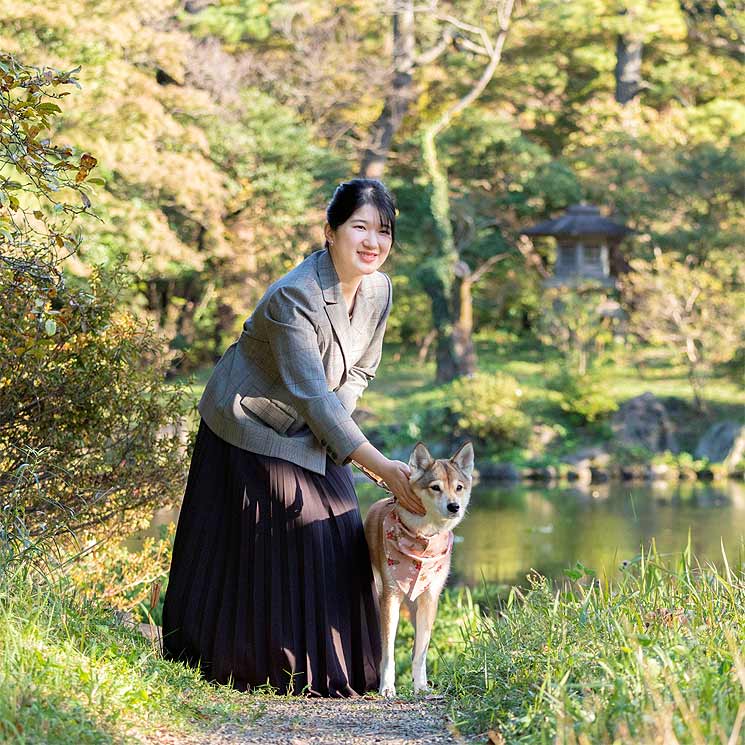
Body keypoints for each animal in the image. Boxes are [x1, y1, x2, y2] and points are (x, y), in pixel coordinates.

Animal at [362, 438, 476, 696]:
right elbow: (389, 652)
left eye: (459, 487)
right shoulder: (390, 597)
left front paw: (421, 686)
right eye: (435, 487)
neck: (423, 539)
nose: (454, 506)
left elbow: (421, 652)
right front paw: (387, 687)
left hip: (416, 604)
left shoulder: (430, 598)